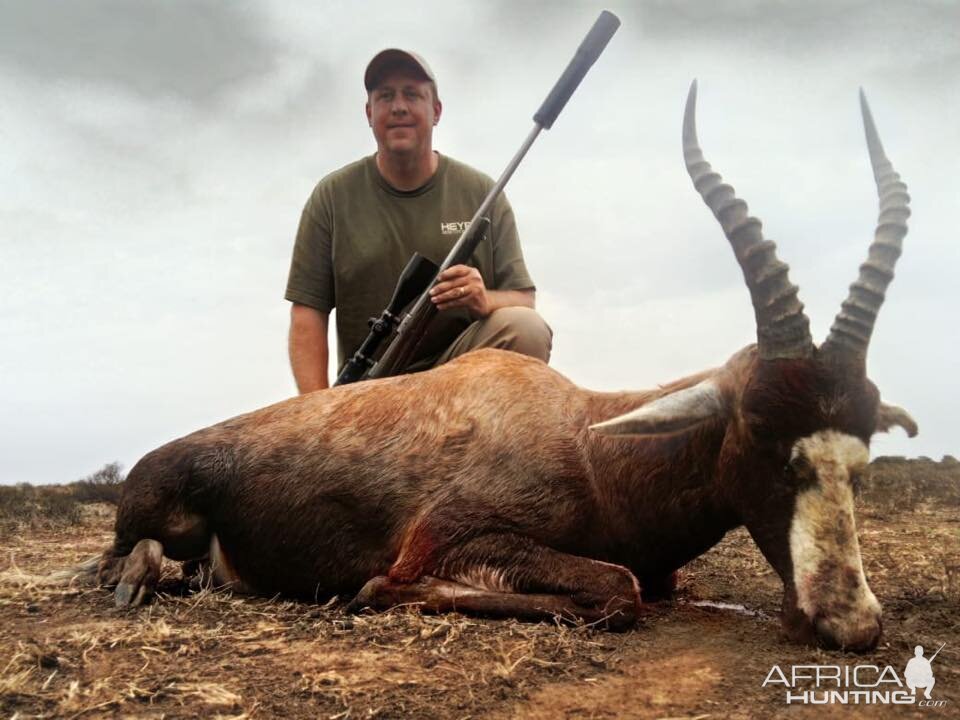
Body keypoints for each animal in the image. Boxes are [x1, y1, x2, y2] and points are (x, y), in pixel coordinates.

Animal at [97, 84, 916, 652]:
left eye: (863, 458)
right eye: (765, 436)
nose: (850, 625)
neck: (589, 440)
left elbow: (643, 585)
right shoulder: (447, 540)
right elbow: (617, 591)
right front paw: (375, 590)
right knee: (130, 562)